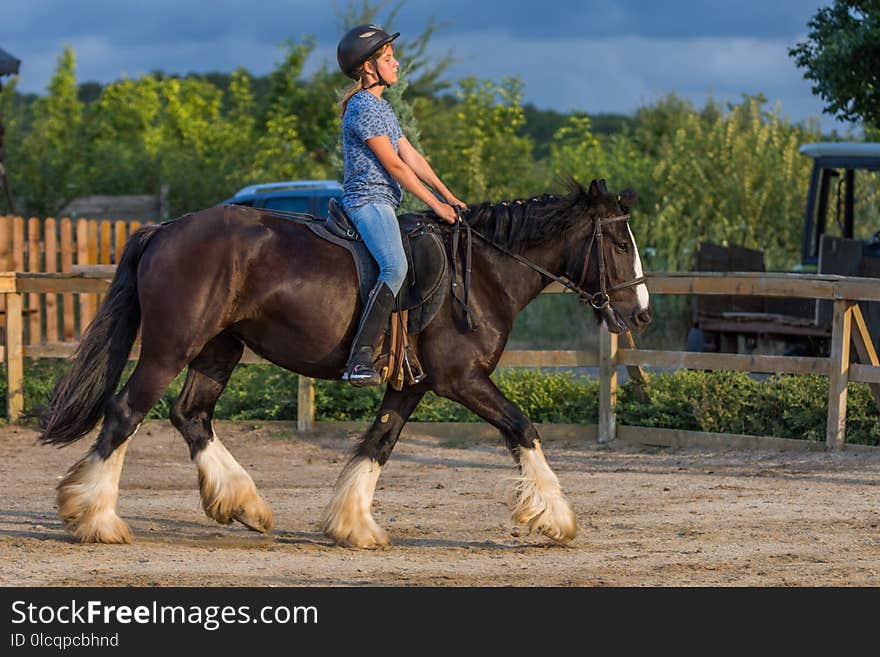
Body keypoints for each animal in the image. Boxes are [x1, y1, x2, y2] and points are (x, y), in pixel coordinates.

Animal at [37, 177, 648, 544]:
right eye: (620, 245)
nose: (639, 314)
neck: (482, 274)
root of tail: (164, 228)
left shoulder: (412, 385)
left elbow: (378, 444)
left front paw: (353, 526)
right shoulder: (462, 380)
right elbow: (523, 428)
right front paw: (556, 517)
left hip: (218, 350)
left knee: (191, 416)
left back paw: (244, 504)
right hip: (171, 348)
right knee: (125, 414)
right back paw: (96, 519)